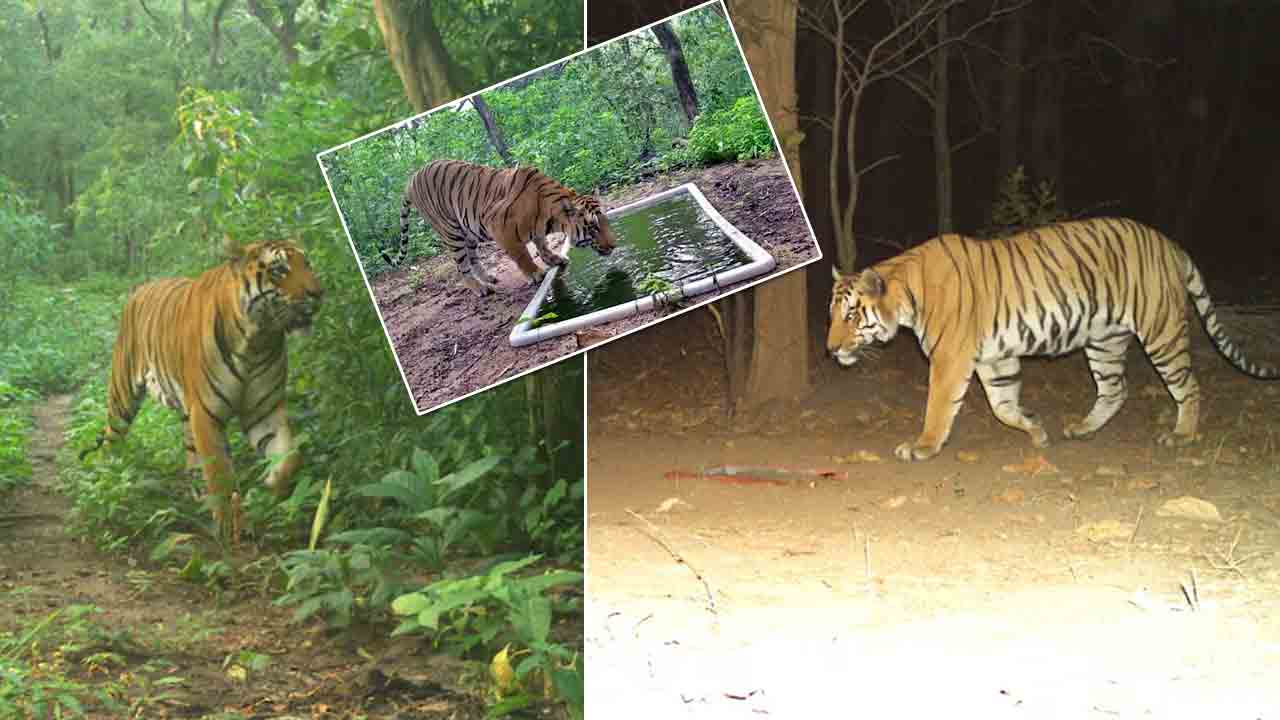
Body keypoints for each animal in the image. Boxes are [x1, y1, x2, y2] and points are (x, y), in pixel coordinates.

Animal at [80, 239, 323, 530]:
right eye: (279, 269)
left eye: (307, 264)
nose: (319, 293)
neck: (258, 339)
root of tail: (138, 289)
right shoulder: (207, 414)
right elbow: (220, 475)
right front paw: (231, 527)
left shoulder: (264, 411)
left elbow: (290, 458)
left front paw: (272, 488)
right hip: (123, 395)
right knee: (111, 438)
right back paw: (110, 480)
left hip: (186, 410)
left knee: (190, 454)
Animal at [379, 159, 617, 296]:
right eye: (593, 228)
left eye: (606, 223)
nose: (614, 245)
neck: (551, 215)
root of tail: (411, 180)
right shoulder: (499, 226)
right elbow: (522, 254)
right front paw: (536, 274)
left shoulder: (538, 231)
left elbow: (541, 244)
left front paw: (554, 258)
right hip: (451, 231)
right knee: (461, 267)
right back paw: (481, 288)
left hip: (468, 232)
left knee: (473, 258)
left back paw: (488, 278)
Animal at [827, 217, 1278, 462]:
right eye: (831, 314)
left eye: (851, 314)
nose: (831, 349)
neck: (907, 294)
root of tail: (1170, 244)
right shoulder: (995, 359)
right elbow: (1003, 406)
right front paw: (1036, 429)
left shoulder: (951, 359)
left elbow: (938, 408)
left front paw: (922, 447)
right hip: (1105, 340)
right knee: (1115, 389)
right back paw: (1082, 429)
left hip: (1161, 330)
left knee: (1188, 384)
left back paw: (1182, 434)